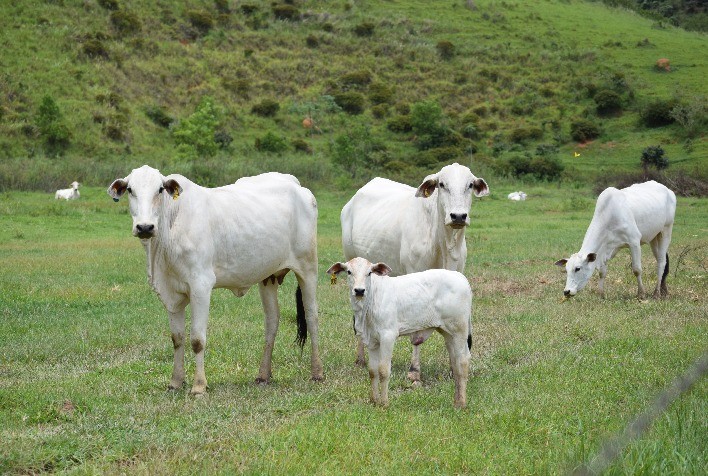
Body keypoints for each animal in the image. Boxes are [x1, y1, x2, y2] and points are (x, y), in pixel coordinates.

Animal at [108, 164, 324, 394]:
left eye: (159, 189)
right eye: (130, 189)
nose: (145, 227)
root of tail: (296, 185)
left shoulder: (201, 286)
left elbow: (197, 339)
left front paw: (199, 386)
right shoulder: (172, 294)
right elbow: (177, 338)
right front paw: (175, 382)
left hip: (308, 268)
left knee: (311, 316)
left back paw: (317, 372)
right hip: (268, 277)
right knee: (272, 320)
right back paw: (263, 375)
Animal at [328, 258, 472, 408]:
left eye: (369, 273)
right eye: (349, 272)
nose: (359, 290)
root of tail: (460, 277)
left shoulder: (388, 336)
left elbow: (383, 370)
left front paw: (384, 403)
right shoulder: (372, 341)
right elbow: (373, 371)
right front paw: (374, 400)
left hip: (460, 330)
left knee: (463, 361)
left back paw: (462, 403)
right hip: (448, 333)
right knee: (455, 362)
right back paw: (456, 401)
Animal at [342, 162, 486, 382]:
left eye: (470, 184)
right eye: (442, 184)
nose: (458, 216)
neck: (442, 243)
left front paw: (453, 368)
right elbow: (417, 334)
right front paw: (414, 370)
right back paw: (360, 358)